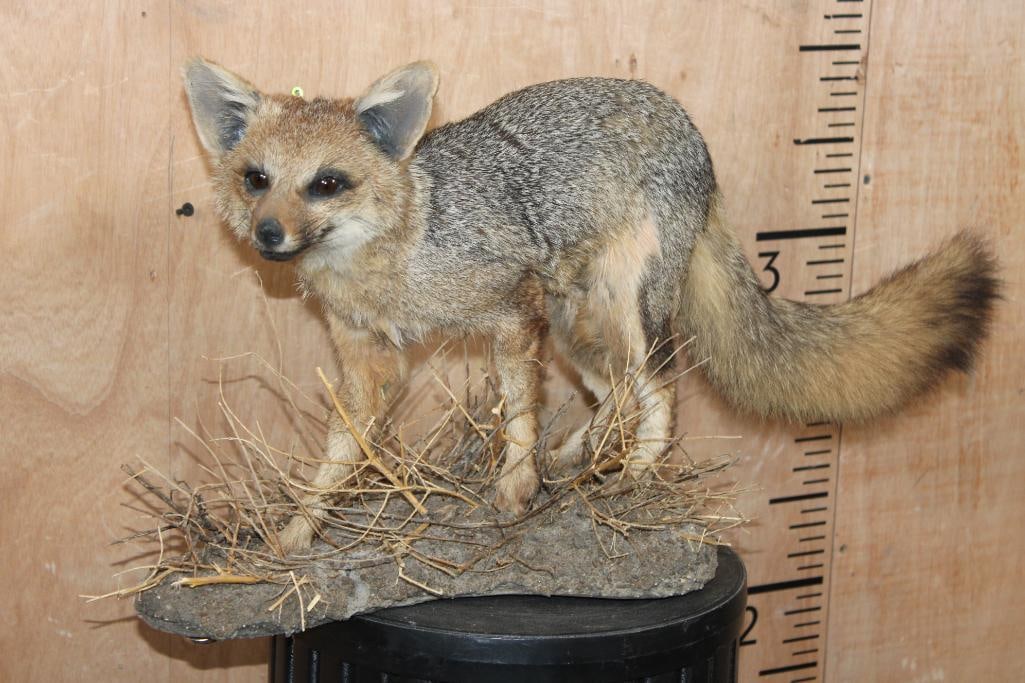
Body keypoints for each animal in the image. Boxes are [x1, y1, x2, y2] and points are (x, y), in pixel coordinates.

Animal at [183, 59, 998, 553]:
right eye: (257, 179)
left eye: (326, 184)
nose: (269, 235)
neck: (400, 251)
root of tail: (684, 125)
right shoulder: (366, 359)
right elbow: (338, 456)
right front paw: (295, 534)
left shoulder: (512, 313)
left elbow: (517, 414)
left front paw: (514, 489)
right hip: (578, 329)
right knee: (618, 393)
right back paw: (581, 460)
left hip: (626, 314)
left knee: (660, 389)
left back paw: (634, 475)